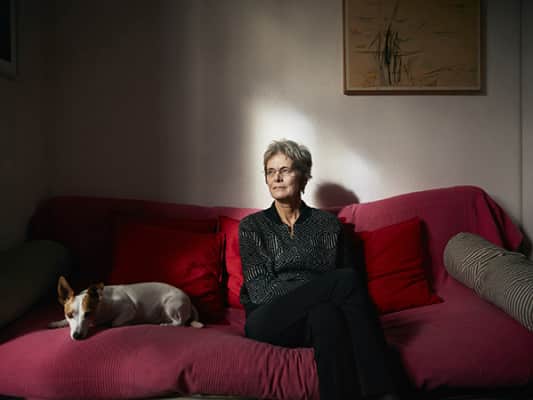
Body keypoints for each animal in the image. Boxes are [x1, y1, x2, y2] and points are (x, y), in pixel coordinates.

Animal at [49, 276, 203, 340]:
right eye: (69, 315)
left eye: (88, 314)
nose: (77, 336)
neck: (102, 305)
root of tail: (189, 302)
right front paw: (57, 323)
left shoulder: (129, 309)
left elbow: (114, 323)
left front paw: (127, 323)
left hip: (170, 305)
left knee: (180, 322)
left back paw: (166, 324)